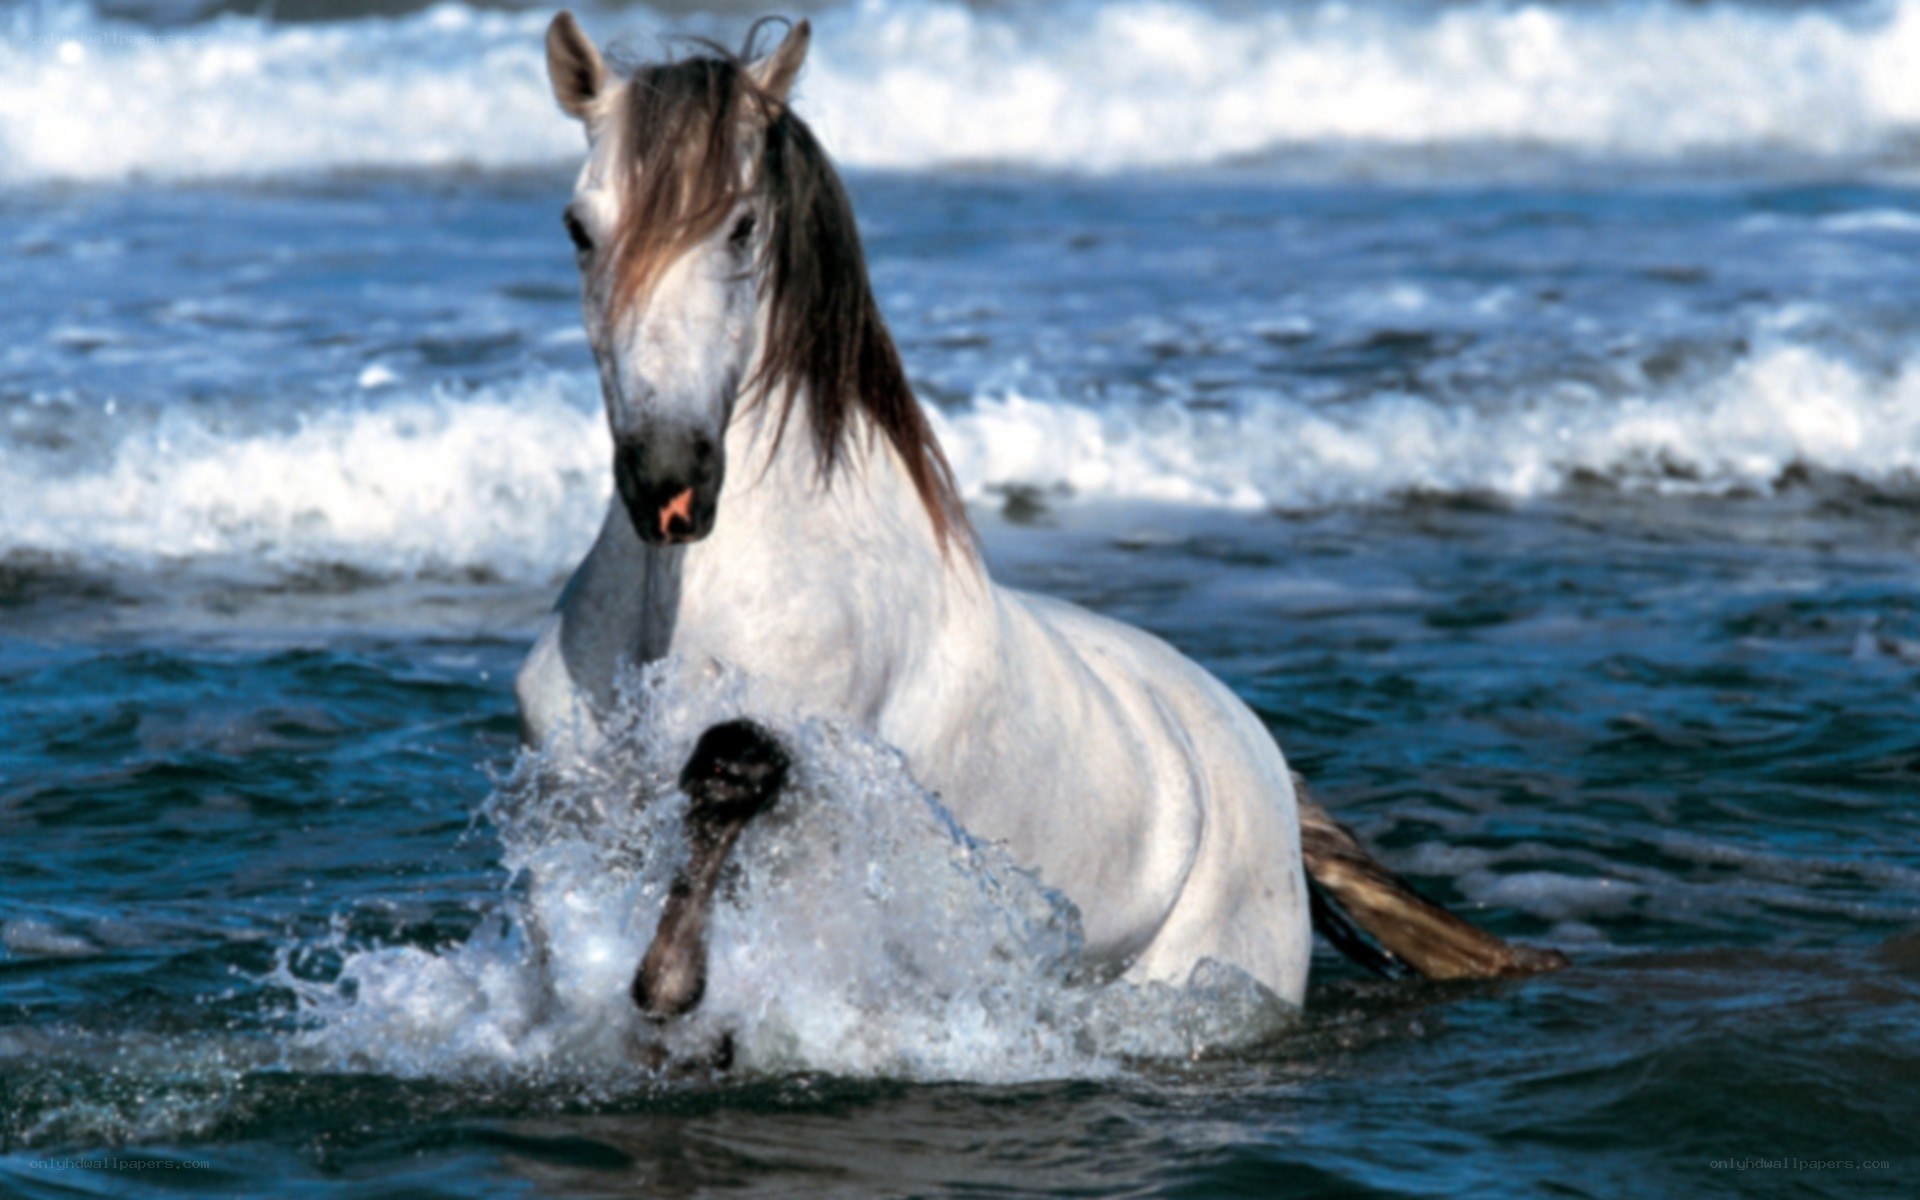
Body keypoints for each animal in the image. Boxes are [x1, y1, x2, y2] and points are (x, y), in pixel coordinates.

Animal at [517, 12, 1564, 1019]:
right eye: (576, 227)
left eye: (740, 228)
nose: (668, 480)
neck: (678, 603)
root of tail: (1264, 762)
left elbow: (733, 778)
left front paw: (671, 984)